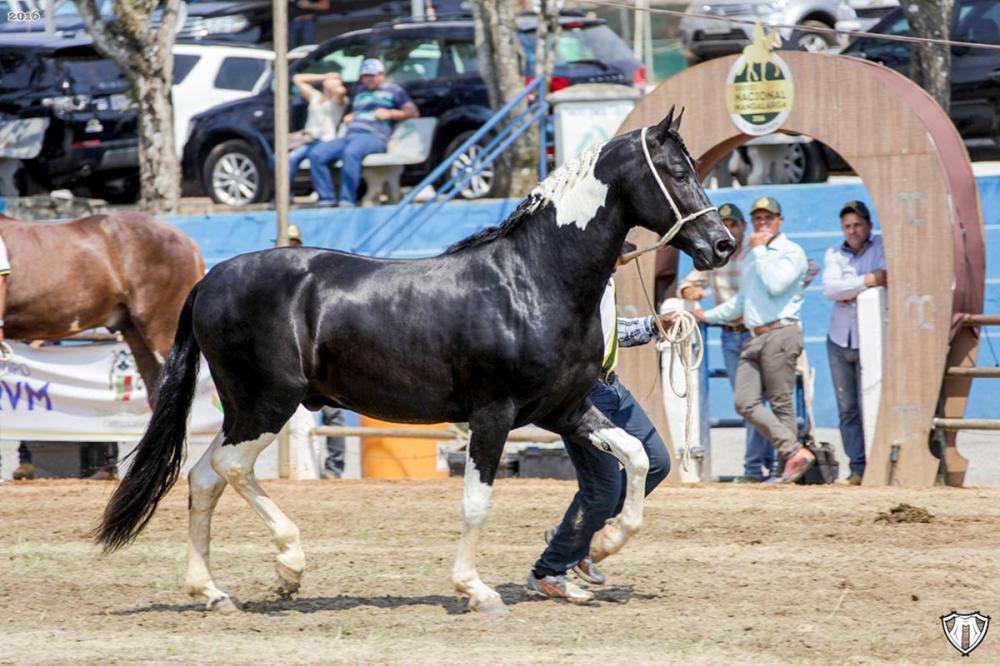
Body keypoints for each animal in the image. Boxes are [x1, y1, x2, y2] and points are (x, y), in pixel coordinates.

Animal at [94, 108, 735, 614]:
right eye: (678, 173)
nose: (722, 244)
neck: (534, 278)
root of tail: (209, 280)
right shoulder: (494, 415)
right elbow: (476, 502)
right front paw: (476, 590)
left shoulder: (566, 410)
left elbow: (634, 456)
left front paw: (602, 547)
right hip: (267, 405)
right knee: (227, 470)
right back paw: (289, 567)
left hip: (245, 410)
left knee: (204, 477)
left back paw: (213, 592)